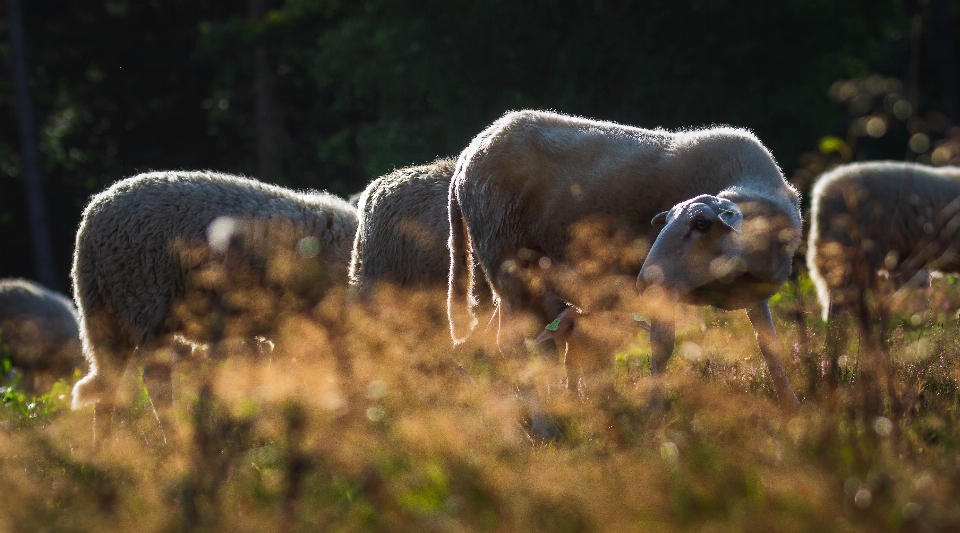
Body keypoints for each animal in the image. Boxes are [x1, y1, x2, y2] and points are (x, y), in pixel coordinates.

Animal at [450, 110, 804, 406]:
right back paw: (542, 423)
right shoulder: (667, 292)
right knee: (509, 346)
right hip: (505, 262)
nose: (645, 279)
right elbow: (663, 347)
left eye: (702, 224)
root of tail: (470, 152)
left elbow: (771, 350)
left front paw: (791, 411)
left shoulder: (755, 296)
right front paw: (654, 416)